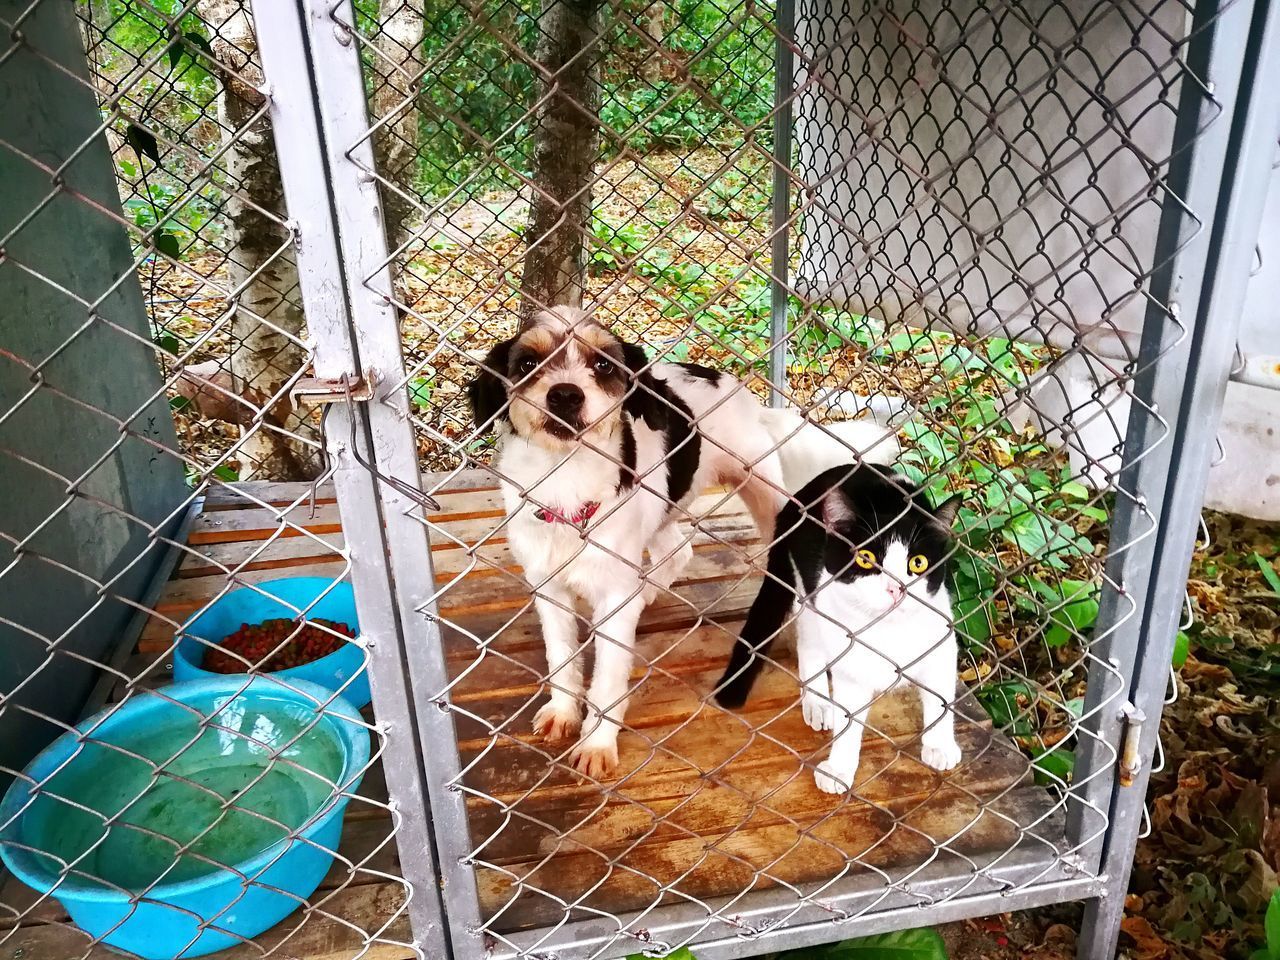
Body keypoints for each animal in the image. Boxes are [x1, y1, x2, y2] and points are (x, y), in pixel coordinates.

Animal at [471, 308, 901, 783]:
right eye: (528, 363)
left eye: (604, 365)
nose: (565, 395)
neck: (565, 482)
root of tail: (744, 395)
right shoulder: (548, 588)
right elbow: (561, 658)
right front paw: (564, 712)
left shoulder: (613, 597)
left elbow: (607, 679)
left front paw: (598, 743)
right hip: (666, 505)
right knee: (679, 550)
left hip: (767, 498)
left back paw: (815, 695)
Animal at [716, 465, 962, 798]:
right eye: (865, 558)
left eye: (919, 562)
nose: (896, 588)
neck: (887, 632)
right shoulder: (850, 665)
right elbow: (849, 720)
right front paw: (838, 769)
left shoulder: (941, 641)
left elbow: (941, 697)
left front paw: (940, 745)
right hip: (809, 593)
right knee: (809, 643)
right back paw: (818, 702)